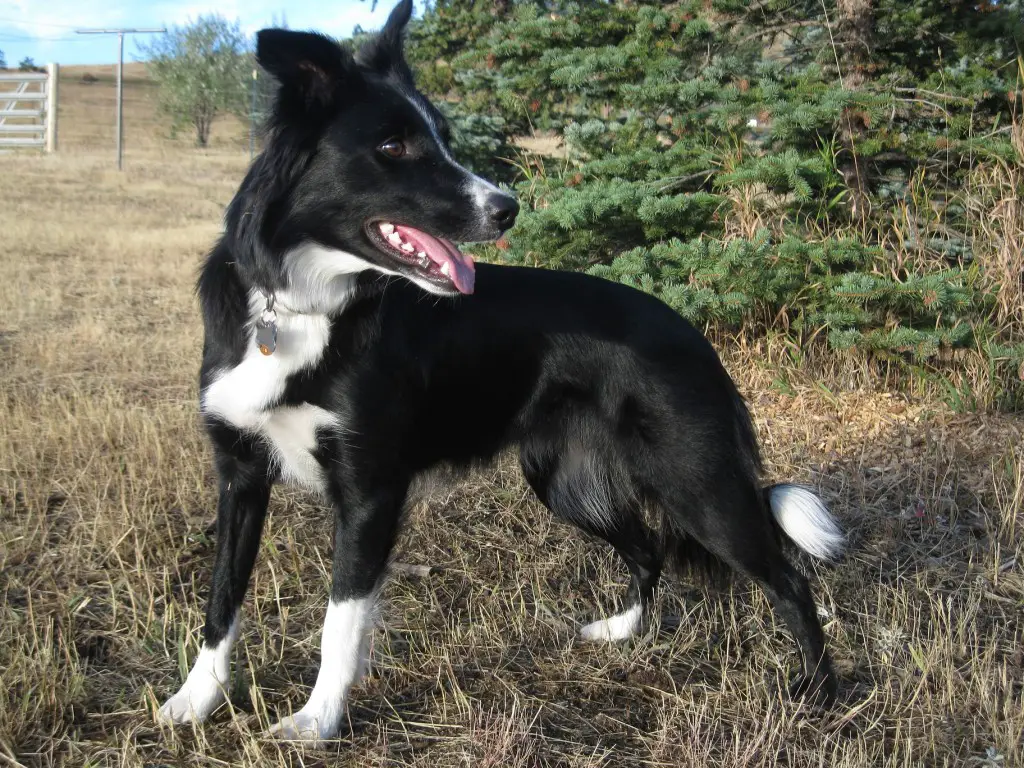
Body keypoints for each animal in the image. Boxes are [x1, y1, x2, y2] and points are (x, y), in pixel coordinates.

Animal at [159, 1, 843, 745]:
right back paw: (620, 632)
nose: (507, 207)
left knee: (787, 579)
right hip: (563, 479)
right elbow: (221, 601)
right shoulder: (240, 475)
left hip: (696, 483)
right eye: (393, 146)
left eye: (444, 138)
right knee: (649, 553)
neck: (297, 305)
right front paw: (196, 700)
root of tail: (693, 335)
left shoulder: (370, 491)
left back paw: (820, 694)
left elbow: (339, 623)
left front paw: (318, 720)